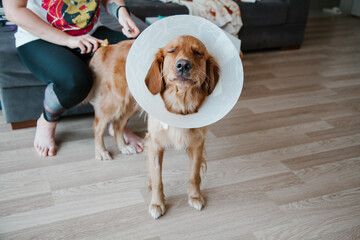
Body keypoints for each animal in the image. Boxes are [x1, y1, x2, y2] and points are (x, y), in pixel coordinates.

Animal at [144, 35, 219, 219]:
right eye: (172, 50)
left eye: (198, 52)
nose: (183, 65)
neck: (181, 103)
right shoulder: (154, 145)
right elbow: (157, 179)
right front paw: (157, 203)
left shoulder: (197, 144)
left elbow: (194, 174)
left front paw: (195, 196)